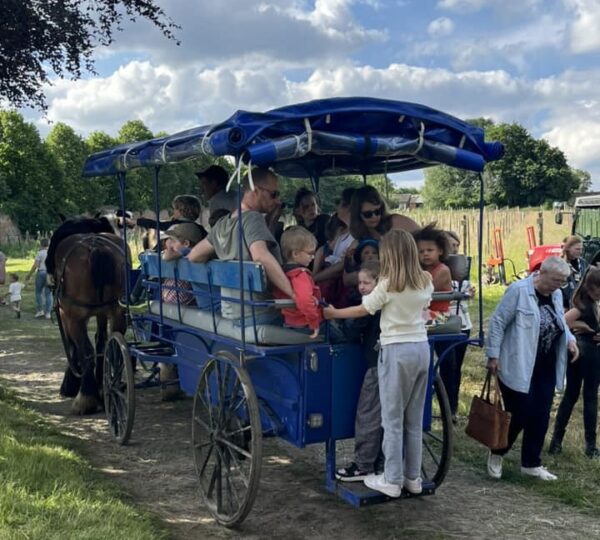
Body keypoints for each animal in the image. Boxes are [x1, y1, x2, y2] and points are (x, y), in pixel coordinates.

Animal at [49, 217, 127, 416]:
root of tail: (97, 248)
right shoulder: (102, 313)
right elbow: (101, 341)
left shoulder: (66, 314)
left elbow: (74, 346)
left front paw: (71, 385)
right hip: (117, 311)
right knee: (111, 348)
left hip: (74, 316)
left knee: (86, 352)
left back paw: (85, 399)